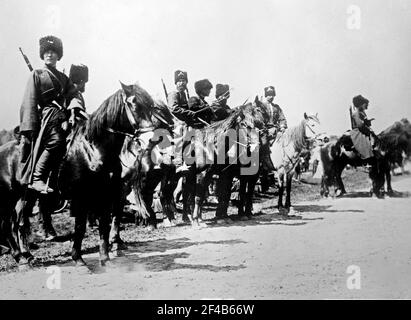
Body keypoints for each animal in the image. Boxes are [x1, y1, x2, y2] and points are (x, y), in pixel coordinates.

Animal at [0, 82, 156, 268]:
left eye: (151, 106)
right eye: (134, 105)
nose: (151, 139)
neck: (93, 148)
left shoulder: (105, 194)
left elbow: (104, 224)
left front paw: (105, 258)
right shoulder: (82, 196)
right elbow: (80, 227)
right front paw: (79, 259)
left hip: (25, 196)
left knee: (18, 222)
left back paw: (25, 256)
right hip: (9, 197)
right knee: (8, 224)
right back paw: (19, 255)